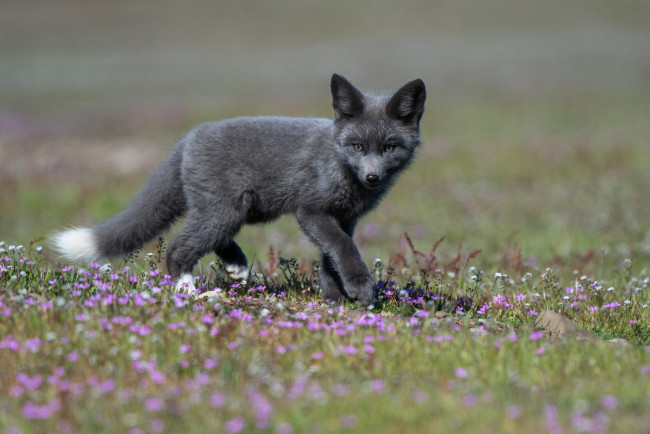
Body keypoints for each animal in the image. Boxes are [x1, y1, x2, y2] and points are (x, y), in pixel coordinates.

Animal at [53, 74, 426, 305]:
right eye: (358, 147)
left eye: (389, 147)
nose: (372, 178)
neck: (339, 161)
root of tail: (189, 137)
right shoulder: (312, 211)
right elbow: (344, 250)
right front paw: (360, 290)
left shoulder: (345, 219)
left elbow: (330, 258)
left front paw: (336, 299)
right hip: (226, 211)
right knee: (177, 247)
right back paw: (188, 290)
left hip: (236, 210)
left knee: (211, 239)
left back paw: (236, 267)